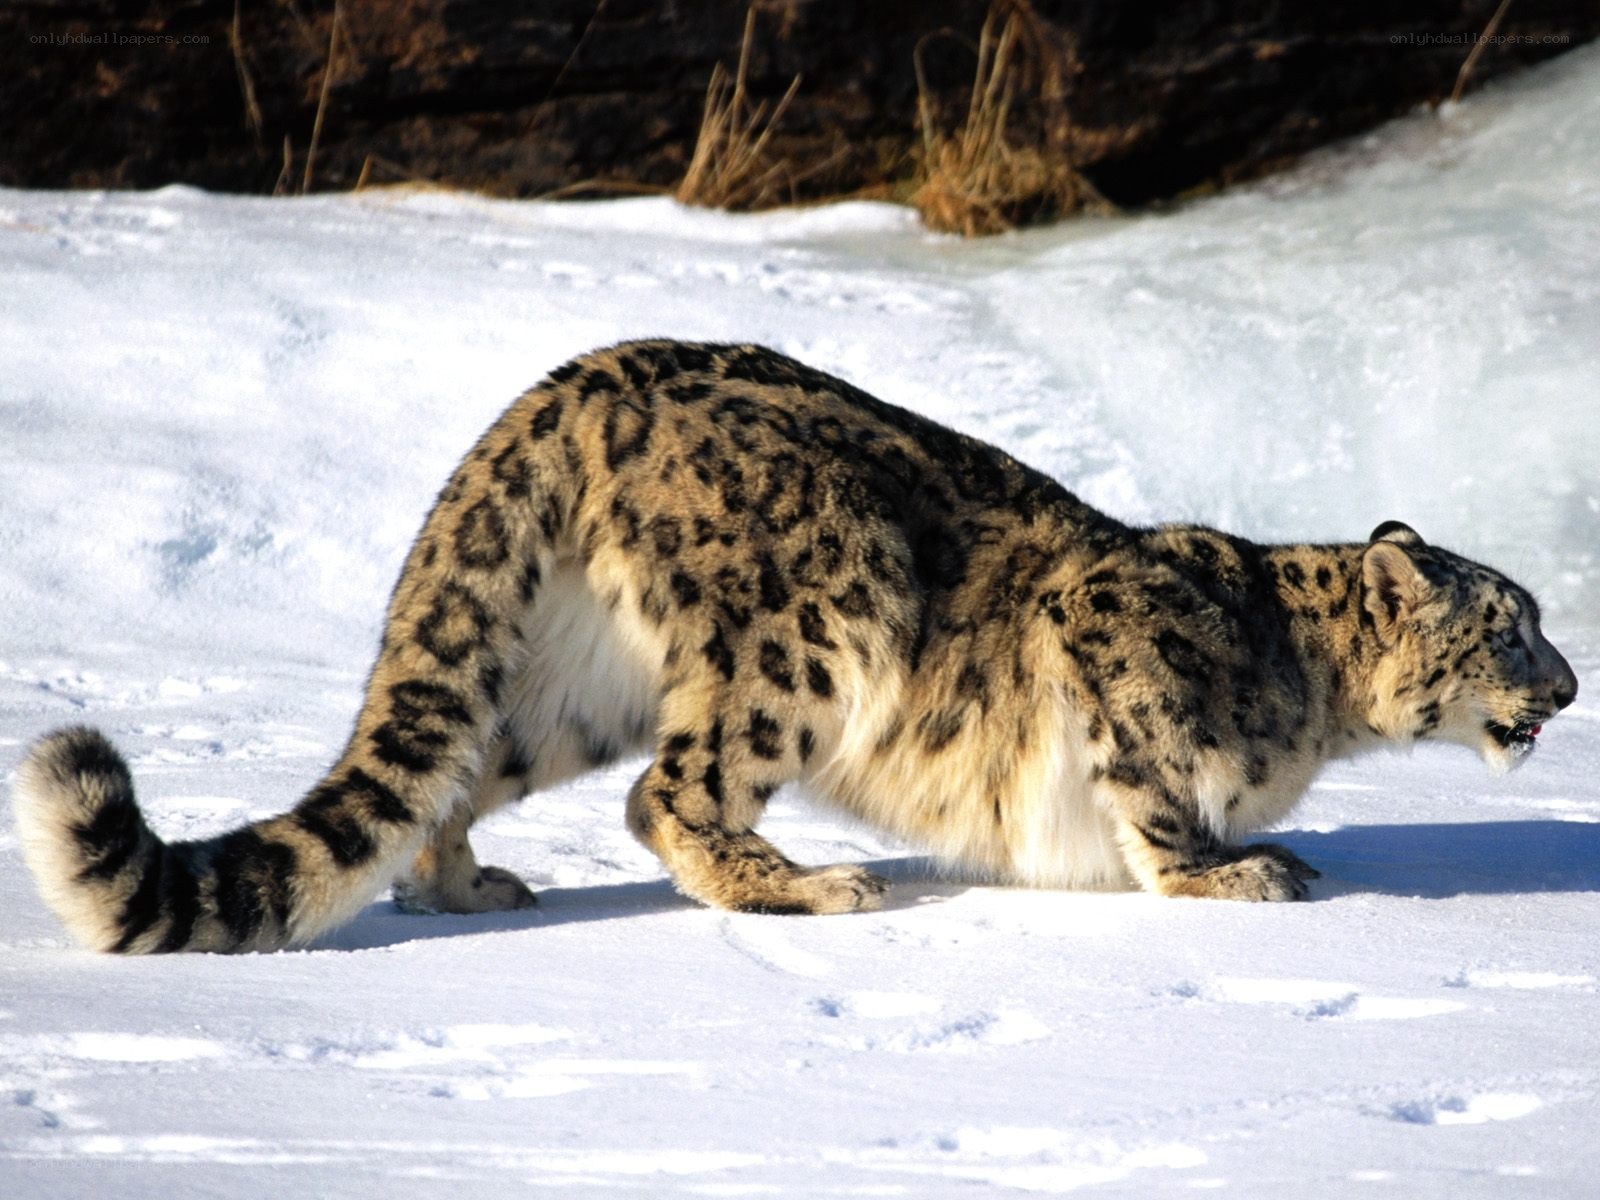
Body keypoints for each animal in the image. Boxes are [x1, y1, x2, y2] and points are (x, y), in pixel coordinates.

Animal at [11, 340, 1578, 953]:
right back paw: (808, 887)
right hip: (827, 609)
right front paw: (1233, 872)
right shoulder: (1113, 642)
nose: (1570, 686)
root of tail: (572, 385)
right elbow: (1150, 791)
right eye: (1510, 620)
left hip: (565, 681)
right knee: (672, 795)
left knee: (459, 764)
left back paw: (464, 887)